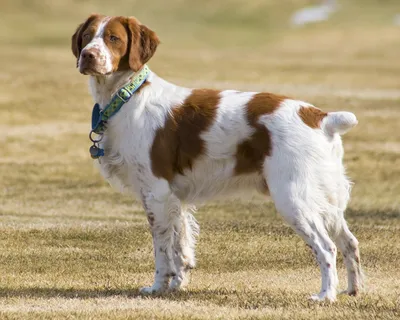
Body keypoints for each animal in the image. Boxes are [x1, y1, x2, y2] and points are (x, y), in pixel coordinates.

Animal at [71, 13, 362, 302]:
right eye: (87, 36)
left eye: (113, 38)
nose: (87, 55)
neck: (128, 96)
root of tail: (321, 117)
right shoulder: (175, 198)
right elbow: (181, 246)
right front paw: (176, 285)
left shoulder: (156, 193)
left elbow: (162, 250)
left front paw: (157, 287)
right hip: (326, 199)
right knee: (349, 242)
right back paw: (352, 290)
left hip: (293, 198)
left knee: (326, 247)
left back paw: (326, 295)